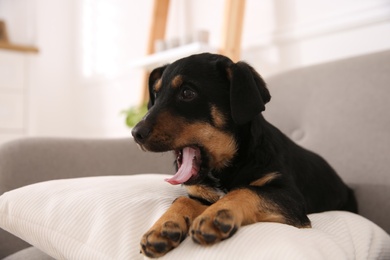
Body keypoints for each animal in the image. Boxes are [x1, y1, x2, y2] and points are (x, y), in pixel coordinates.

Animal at [132, 53, 356, 258]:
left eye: (188, 92)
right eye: (155, 95)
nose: (136, 134)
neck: (228, 166)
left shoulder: (291, 198)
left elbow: (245, 190)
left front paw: (216, 216)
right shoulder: (200, 195)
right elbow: (182, 200)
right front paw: (162, 228)